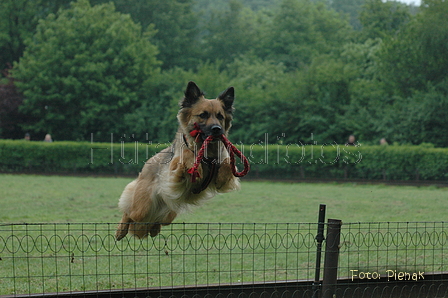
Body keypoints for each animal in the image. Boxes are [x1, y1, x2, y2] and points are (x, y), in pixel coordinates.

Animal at [115, 81, 242, 240]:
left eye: (220, 116)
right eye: (203, 115)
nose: (217, 129)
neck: (206, 152)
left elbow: (228, 163)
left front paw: (221, 176)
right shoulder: (174, 173)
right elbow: (186, 153)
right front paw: (197, 167)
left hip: (168, 213)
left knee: (157, 221)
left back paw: (154, 229)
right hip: (142, 207)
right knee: (129, 212)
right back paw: (120, 230)